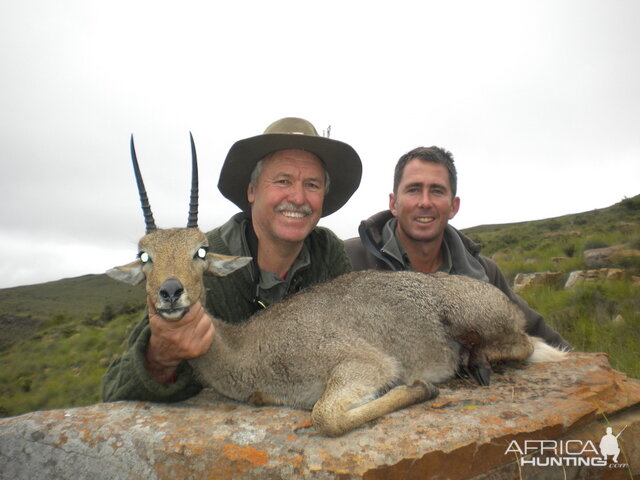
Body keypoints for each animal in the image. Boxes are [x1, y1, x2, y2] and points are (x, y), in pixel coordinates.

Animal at [109, 137, 564, 436]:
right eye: (144, 255)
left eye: (200, 251)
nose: (170, 292)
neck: (244, 348)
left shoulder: (363, 364)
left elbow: (325, 417)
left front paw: (420, 386)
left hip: (475, 318)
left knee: (524, 345)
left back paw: (474, 363)